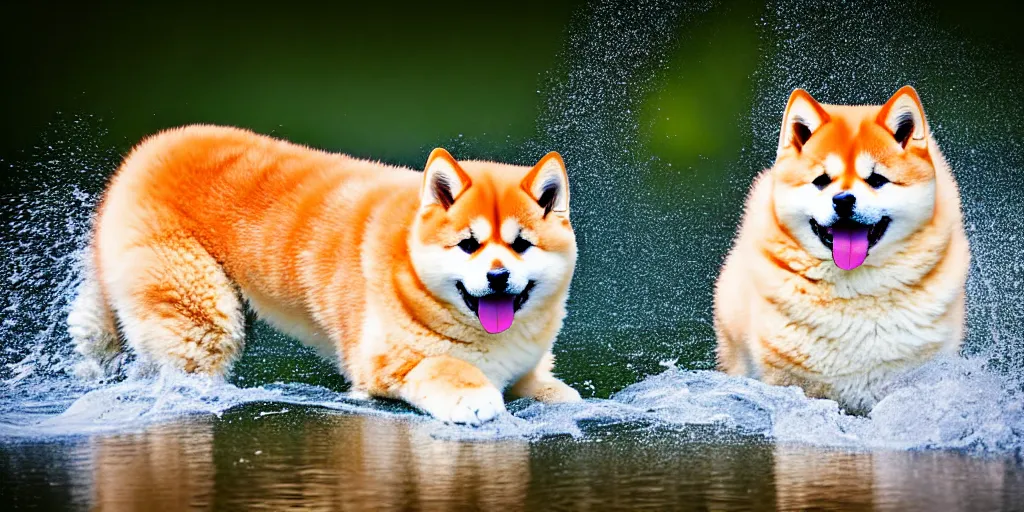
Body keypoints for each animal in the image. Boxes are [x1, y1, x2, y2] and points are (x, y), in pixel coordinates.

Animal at [68, 125, 585, 425]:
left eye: (521, 244)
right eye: (468, 244)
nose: (498, 277)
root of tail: (136, 160)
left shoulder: (523, 365)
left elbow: (550, 389)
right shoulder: (381, 362)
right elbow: (442, 366)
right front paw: (474, 398)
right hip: (202, 314)